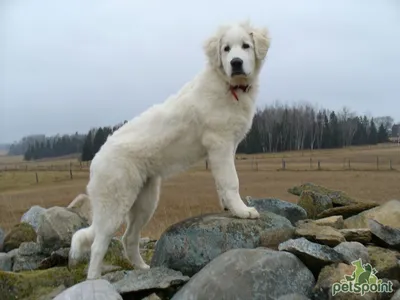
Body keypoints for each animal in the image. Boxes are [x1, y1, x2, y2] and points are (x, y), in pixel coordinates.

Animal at [69, 20, 272, 278]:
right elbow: (231, 181)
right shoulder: (220, 143)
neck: (229, 86)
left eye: (246, 46)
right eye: (226, 49)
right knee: (98, 245)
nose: (235, 63)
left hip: (145, 202)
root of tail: (96, 159)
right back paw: (95, 279)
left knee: (128, 238)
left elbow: (222, 182)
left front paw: (228, 206)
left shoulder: (226, 148)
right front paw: (242, 211)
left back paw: (143, 269)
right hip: (114, 205)